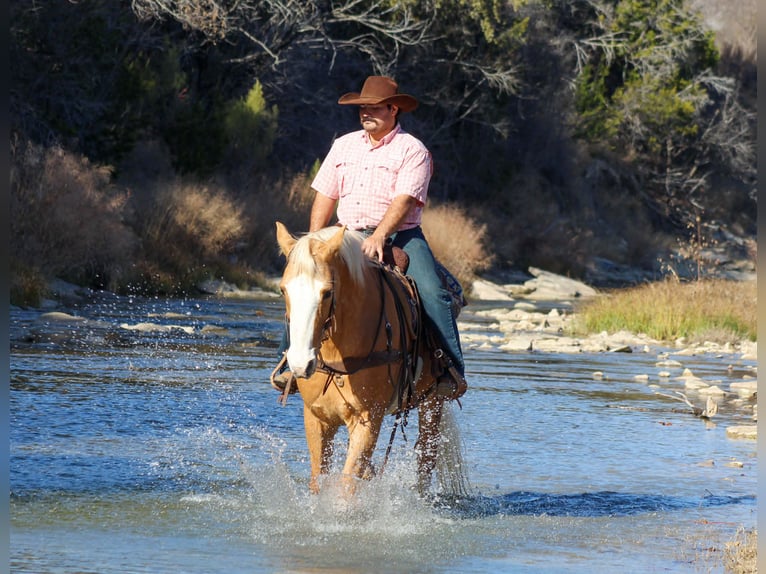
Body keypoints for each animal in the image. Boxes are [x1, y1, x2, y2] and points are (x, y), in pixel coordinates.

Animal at [274, 221, 462, 495]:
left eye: (327, 292)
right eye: (283, 289)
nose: (300, 364)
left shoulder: (367, 420)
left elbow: (347, 488)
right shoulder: (316, 417)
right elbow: (318, 480)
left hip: (433, 401)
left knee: (426, 458)